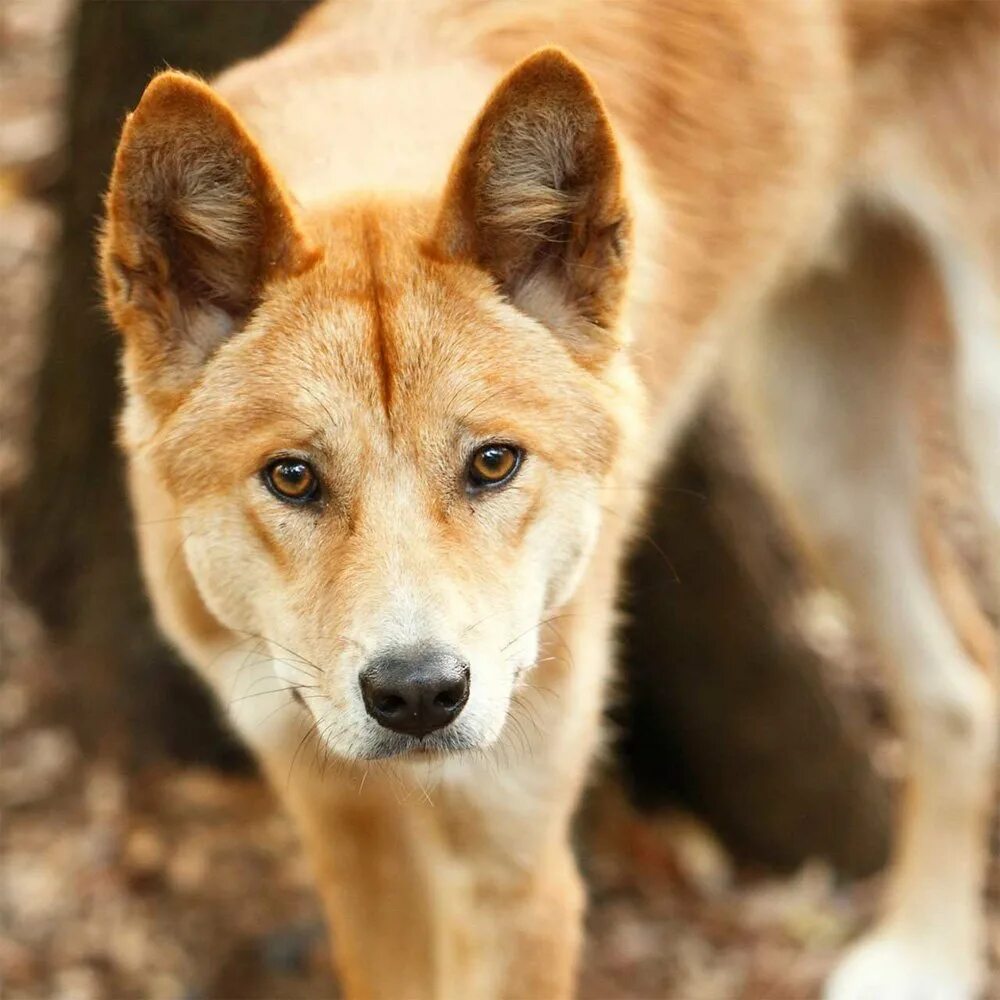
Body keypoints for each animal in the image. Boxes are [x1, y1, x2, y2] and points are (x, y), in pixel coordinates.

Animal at [97, 0, 996, 996]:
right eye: (292, 476)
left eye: (493, 463)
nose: (419, 695)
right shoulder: (348, 831)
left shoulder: (518, 865)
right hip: (816, 452)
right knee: (959, 692)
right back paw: (924, 959)